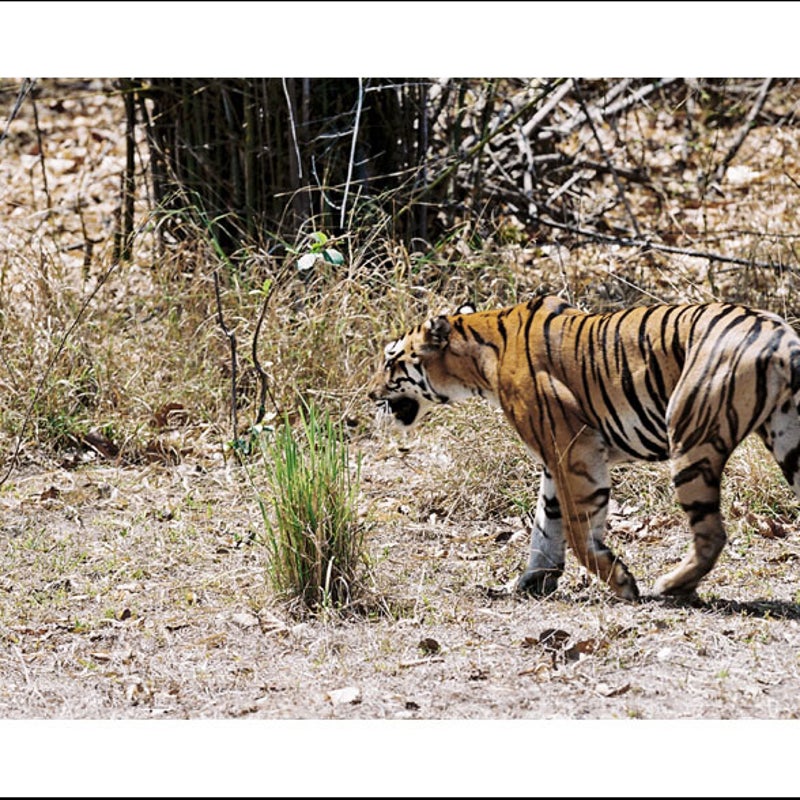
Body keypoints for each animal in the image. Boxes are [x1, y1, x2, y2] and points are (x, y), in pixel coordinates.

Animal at [368, 293, 800, 602]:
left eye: (390, 362)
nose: (370, 395)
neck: (478, 356)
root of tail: (782, 337)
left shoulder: (574, 448)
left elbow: (576, 531)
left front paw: (621, 582)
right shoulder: (553, 457)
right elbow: (545, 525)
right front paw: (526, 584)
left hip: (692, 438)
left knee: (712, 532)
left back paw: (671, 586)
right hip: (789, 440)